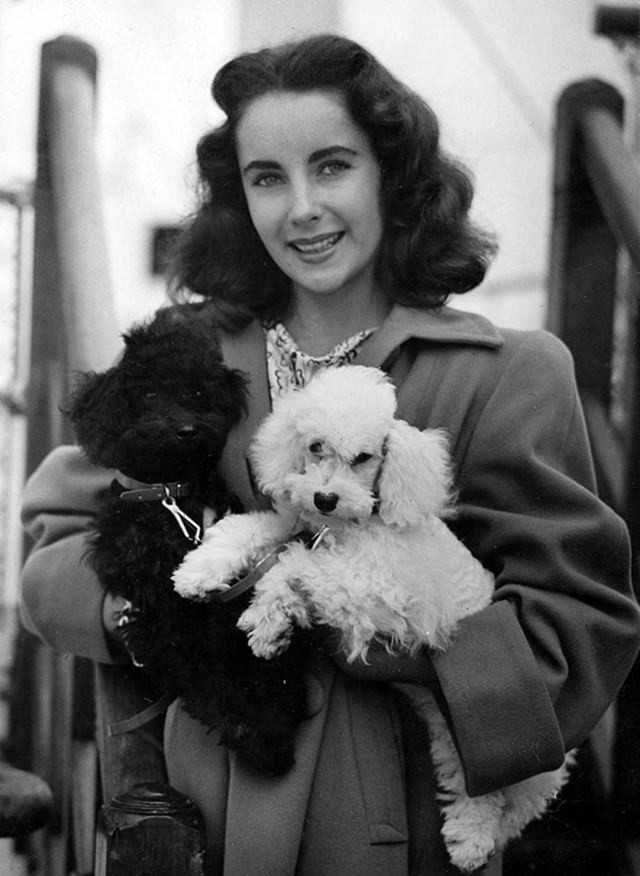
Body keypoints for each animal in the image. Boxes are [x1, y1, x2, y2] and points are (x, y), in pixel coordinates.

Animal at [67, 302, 310, 772]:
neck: (168, 493)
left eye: (198, 394)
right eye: (147, 395)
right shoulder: (134, 570)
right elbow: (185, 641)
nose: (186, 430)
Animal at [172, 364, 572, 876]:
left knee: (495, 792)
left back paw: (472, 844)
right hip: (447, 732)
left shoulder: (375, 593)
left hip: (490, 734)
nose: (324, 498)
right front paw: (199, 572)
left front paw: (267, 620)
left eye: (365, 457)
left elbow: (294, 565)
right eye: (315, 446)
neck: (351, 526)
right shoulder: (299, 527)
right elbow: (253, 530)